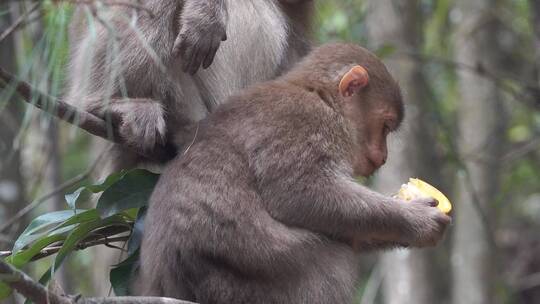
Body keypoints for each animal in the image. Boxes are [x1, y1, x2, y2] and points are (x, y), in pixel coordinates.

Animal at [139, 42, 452, 304]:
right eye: (386, 126)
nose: (384, 157)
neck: (320, 97)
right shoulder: (306, 121)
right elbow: (298, 194)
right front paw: (416, 219)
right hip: (250, 286)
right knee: (334, 259)